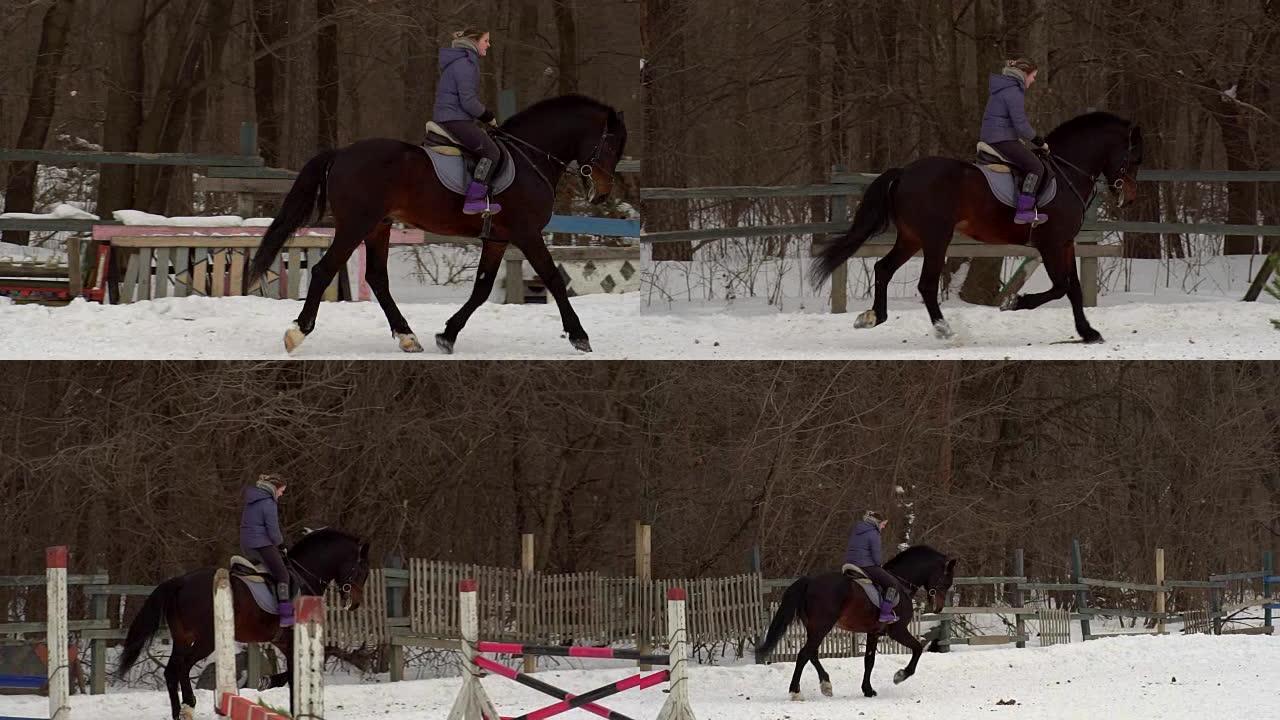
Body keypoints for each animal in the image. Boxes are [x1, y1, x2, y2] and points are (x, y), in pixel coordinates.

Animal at [115, 527, 371, 717]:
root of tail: (180, 581)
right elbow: (293, 674)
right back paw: (189, 703)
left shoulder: (284, 642)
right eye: (362, 571)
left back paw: (180, 712)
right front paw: (268, 683)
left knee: (171, 671)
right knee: (183, 667)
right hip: (205, 641)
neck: (305, 574)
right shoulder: (293, 639)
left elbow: (293, 675)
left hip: (182, 638)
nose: (355, 603)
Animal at [244, 92, 624, 356]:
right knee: (325, 270)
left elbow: (482, 289)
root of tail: (341, 153)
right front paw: (579, 336)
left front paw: (447, 335)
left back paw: (408, 337)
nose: (603, 194)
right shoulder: (527, 234)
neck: (530, 157)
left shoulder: (498, 239)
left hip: (378, 226)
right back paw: (297, 332)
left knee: (377, 278)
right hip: (356, 225)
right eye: (611, 146)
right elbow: (554, 280)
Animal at [752, 545, 957, 696]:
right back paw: (796, 691)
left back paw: (826, 684)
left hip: (813, 627)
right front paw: (900, 675)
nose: (938, 608)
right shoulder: (897, 631)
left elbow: (869, 661)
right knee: (804, 654)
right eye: (946, 581)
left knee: (812, 654)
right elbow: (917, 648)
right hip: (822, 626)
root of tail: (809, 581)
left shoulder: (873, 633)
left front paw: (868, 690)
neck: (901, 583)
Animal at [814, 113, 1146, 343]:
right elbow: (1061, 287)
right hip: (935, 238)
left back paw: (873, 317)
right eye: (1133, 158)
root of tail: (905, 172)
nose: (1130, 198)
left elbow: (1074, 289)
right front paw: (1014, 303)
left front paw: (1088, 332)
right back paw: (944, 329)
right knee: (926, 284)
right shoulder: (1050, 245)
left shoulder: (1066, 244)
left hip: (911, 238)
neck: (1066, 174)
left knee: (883, 269)